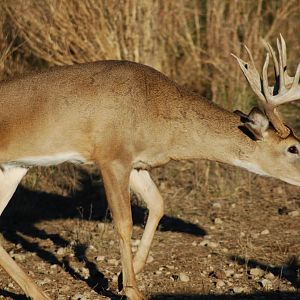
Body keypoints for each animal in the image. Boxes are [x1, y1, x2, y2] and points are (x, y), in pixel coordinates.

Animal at [0, 35, 298, 300]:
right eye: (293, 148)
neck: (154, 112)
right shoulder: (111, 157)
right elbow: (124, 223)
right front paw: (133, 291)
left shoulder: (137, 164)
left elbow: (158, 204)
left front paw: (122, 277)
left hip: (15, 167)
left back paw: (38, 293)